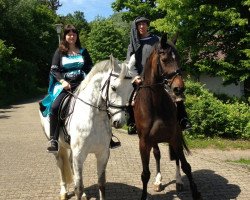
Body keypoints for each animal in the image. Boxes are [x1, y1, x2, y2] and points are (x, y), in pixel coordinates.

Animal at [39, 55, 136, 200]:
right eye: (113, 88)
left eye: (131, 90)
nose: (119, 121)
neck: (94, 117)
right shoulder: (79, 155)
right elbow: (78, 188)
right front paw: (76, 191)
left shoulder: (102, 154)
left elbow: (101, 183)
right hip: (58, 147)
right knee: (60, 165)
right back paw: (63, 192)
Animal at [133, 34, 201, 200]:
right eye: (164, 60)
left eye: (179, 58)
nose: (179, 88)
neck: (155, 103)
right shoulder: (144, 142)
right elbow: (145, 174)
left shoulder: (175, 136)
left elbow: (186, 166)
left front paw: (195, 192)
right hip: (154, 141)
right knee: (157, 155)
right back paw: (158, 181)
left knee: (176, 158)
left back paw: (179, 182)